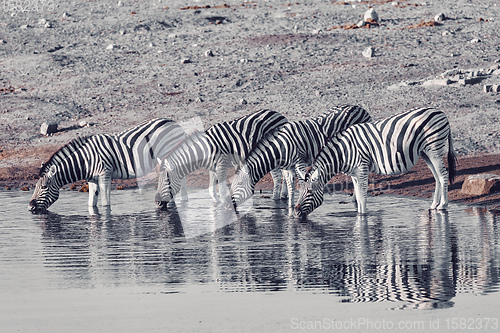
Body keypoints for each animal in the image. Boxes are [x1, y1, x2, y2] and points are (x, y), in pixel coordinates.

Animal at [27, 117, 188, 213]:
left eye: (44, 187)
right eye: (35, 186)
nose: (30, 207)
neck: (85, 161)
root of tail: (174, 122)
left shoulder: (105, 174)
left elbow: (105, 203)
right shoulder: (91, 180)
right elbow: (91, 203)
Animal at [156, 109, 290, 208]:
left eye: (166, 181)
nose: (157, 203)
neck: (204, 151)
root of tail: (280, 115)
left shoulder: (222, 164)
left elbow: (221, 188)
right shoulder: (213, 167)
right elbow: (212, 190)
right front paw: (218, 203)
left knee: (278, 176)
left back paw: (275, 199)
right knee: (284, 173)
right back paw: (283, 195)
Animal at [230, 104, 372, 208]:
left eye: (239, 185)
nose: (229, 207)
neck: (281, 147)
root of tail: (360, 108)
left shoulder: (300, 162)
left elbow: (302, 183)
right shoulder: (288, 167)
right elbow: (290, 187)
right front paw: (290, 208)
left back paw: (355, 199)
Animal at [292, 106, 458, 215]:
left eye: (309, 192)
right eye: (299, 191)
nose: (295, 213)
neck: (343, 152)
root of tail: (440, 112)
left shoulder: (362, 167)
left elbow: (362, 194)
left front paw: (363, 216)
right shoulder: (354, 173)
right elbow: (358, 195)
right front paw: (359, 214)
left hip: (434, 148)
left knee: (443, 175)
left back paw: (443, 206)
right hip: (425, 152)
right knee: (437, 177)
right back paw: (433, 205)